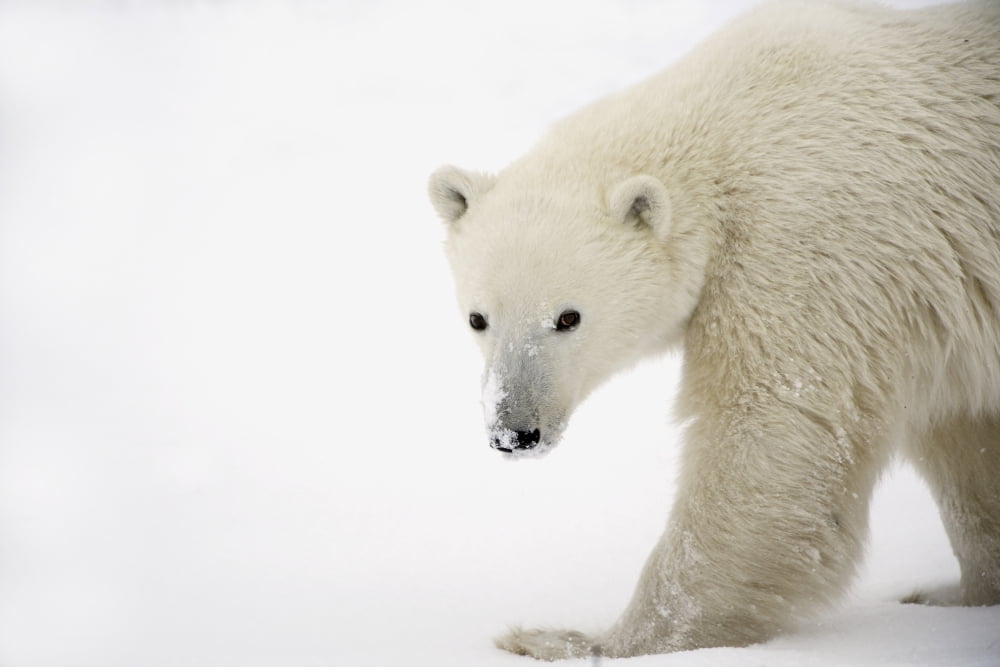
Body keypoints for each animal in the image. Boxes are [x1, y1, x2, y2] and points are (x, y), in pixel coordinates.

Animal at [429, 0, 1000, 660]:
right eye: (478, 318)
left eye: (568, 317)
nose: (515, 433)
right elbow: (964, 441)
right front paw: (957, 595)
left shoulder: (808, 243)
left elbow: (769, 430)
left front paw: (579, 640)